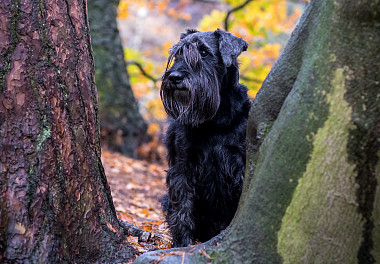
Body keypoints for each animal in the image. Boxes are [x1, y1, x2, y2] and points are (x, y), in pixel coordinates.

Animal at [160, 28, 249, 248]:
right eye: (178, 54)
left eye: (204, 52)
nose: (174, 77)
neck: (214, 120)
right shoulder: (183, 167)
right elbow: (183, 209)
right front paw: (182, 245)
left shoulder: (238, 164)